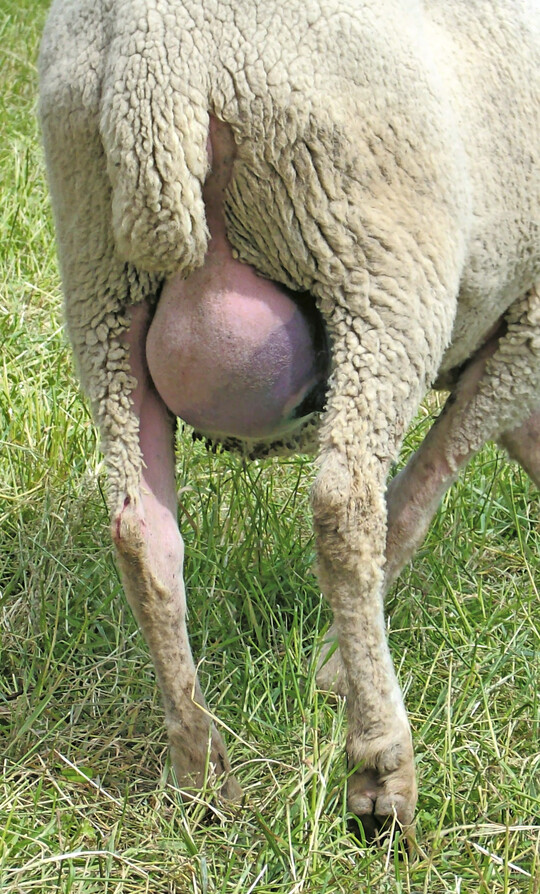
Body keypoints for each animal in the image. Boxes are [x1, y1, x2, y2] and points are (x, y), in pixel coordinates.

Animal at [38, 0, 539, 839]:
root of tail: (156, 56)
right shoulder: (528, 322)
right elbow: (422, 493)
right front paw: (331, 670)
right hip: (377, 264)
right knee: (346, 507)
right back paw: (381, 774)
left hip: (101, 283)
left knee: (143, 532)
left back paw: (202, 775)